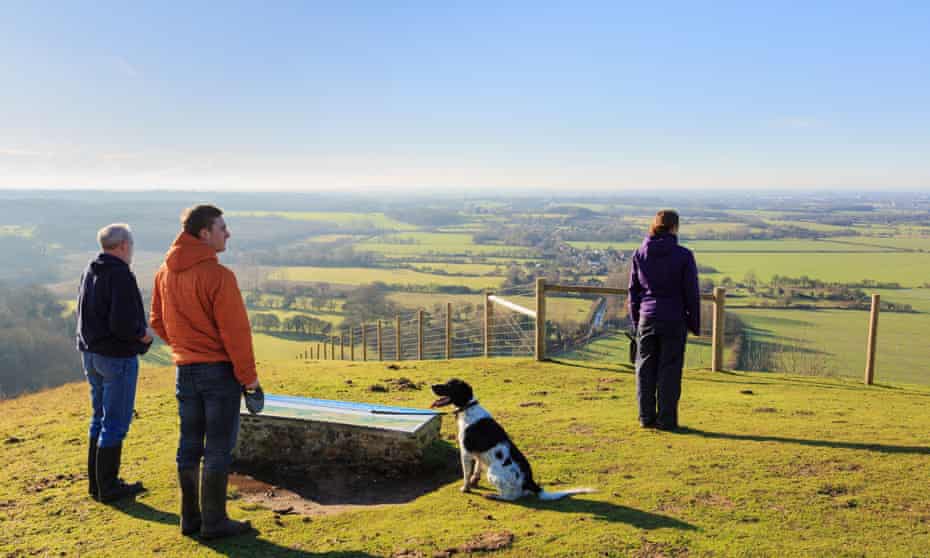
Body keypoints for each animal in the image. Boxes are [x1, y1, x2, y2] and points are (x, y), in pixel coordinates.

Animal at [430, 380, 592, 504]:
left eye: (449, 385)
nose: (432, 386)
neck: (468, 407)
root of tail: (530, 481)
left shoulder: (466, 453)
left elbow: (466, 475)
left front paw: (466, 488)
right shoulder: (477, 454)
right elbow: (476, 470)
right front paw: (474, 483)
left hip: (492, 473)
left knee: (512, 496)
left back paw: (494, 496)